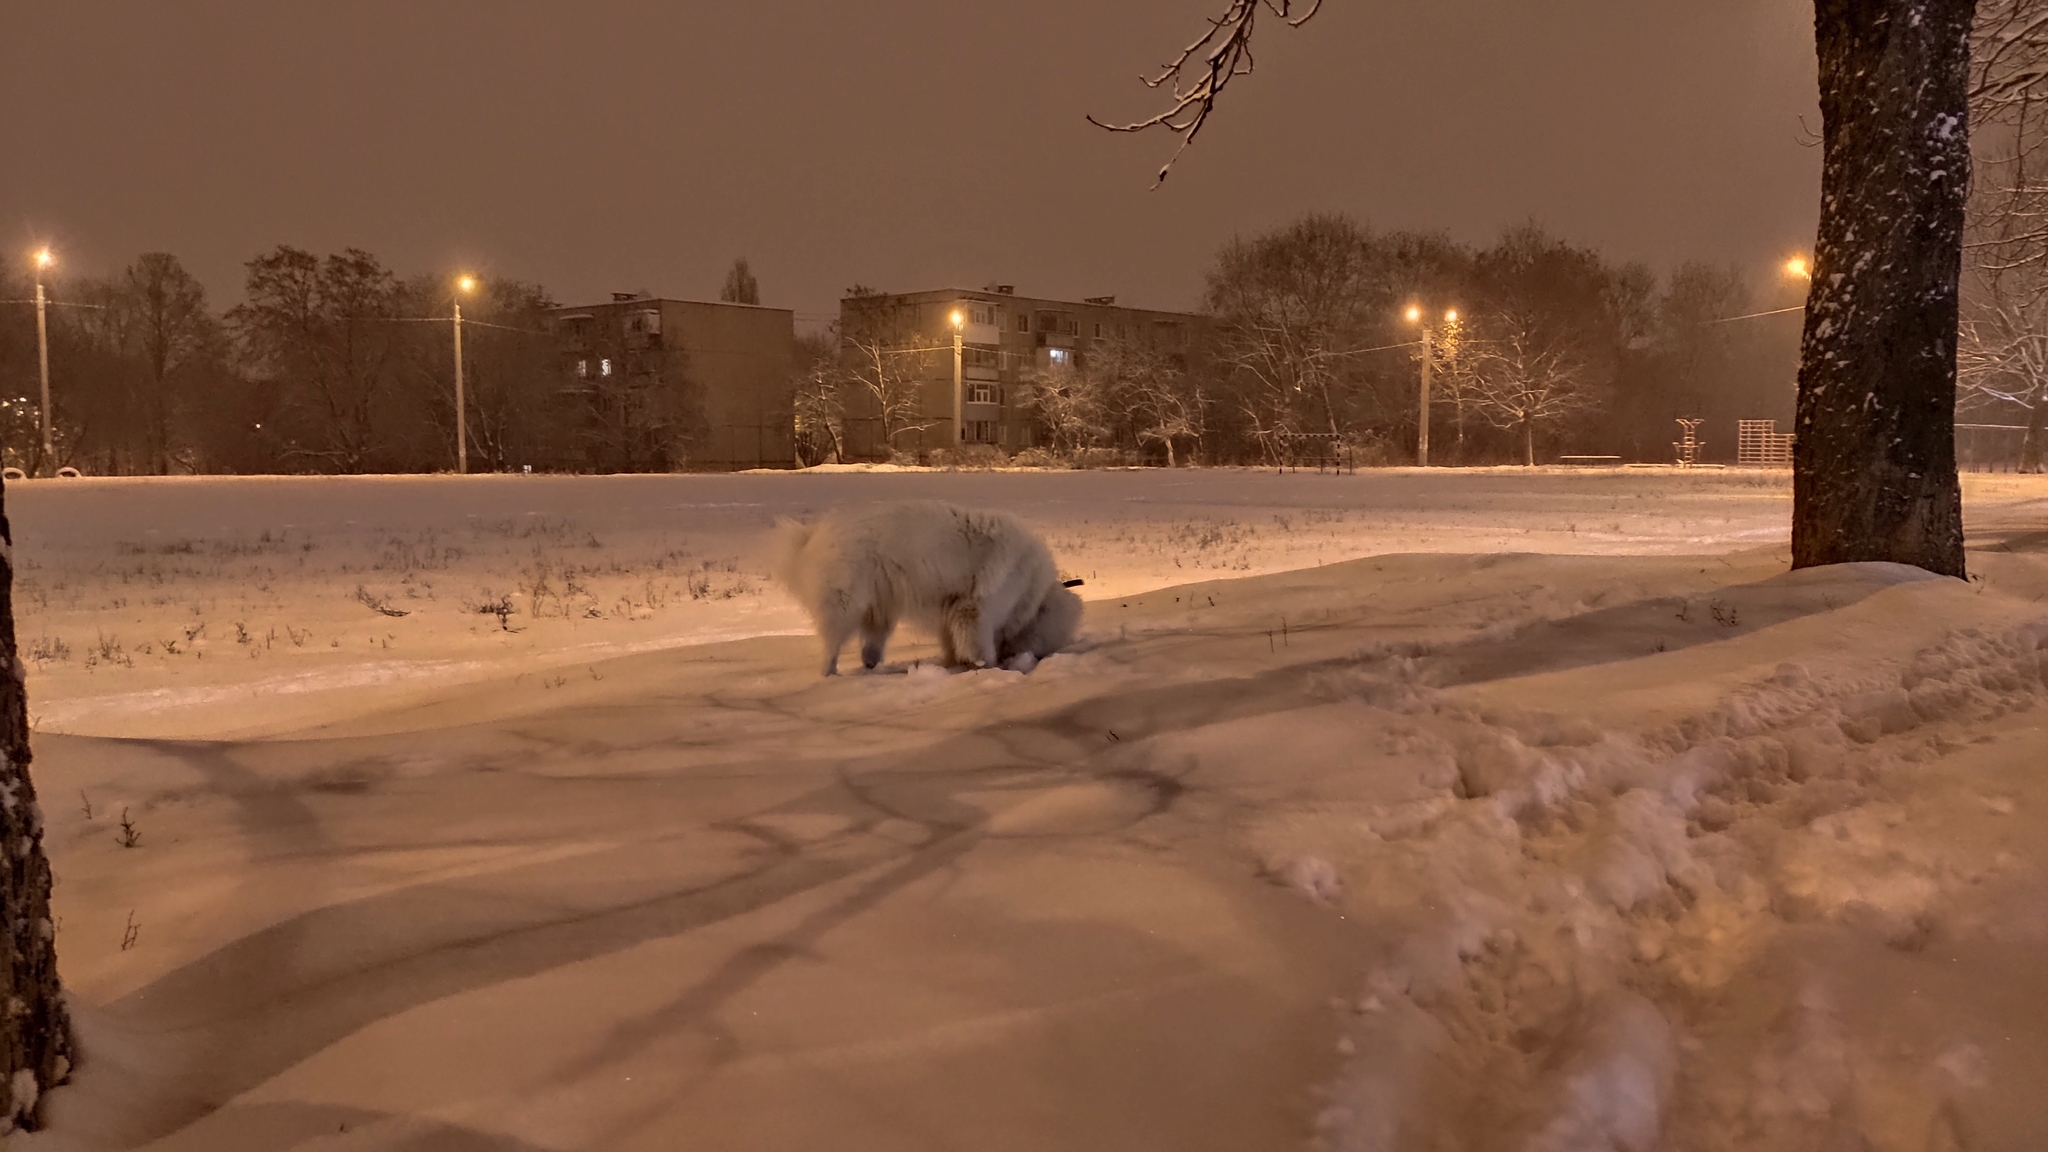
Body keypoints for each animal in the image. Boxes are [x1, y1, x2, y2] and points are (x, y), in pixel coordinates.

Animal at [770, 500, 1089, 672]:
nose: (1040, 656)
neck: (1034, 593)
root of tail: (813, 536)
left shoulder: (954, 611)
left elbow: (955, 641)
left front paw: (956, 662)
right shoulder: (977, 610)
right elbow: (979, 644)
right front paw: (986, 666)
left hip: (880, 614)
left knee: (869, 649)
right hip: (846, 608)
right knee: (831, 649)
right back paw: (831, 674)